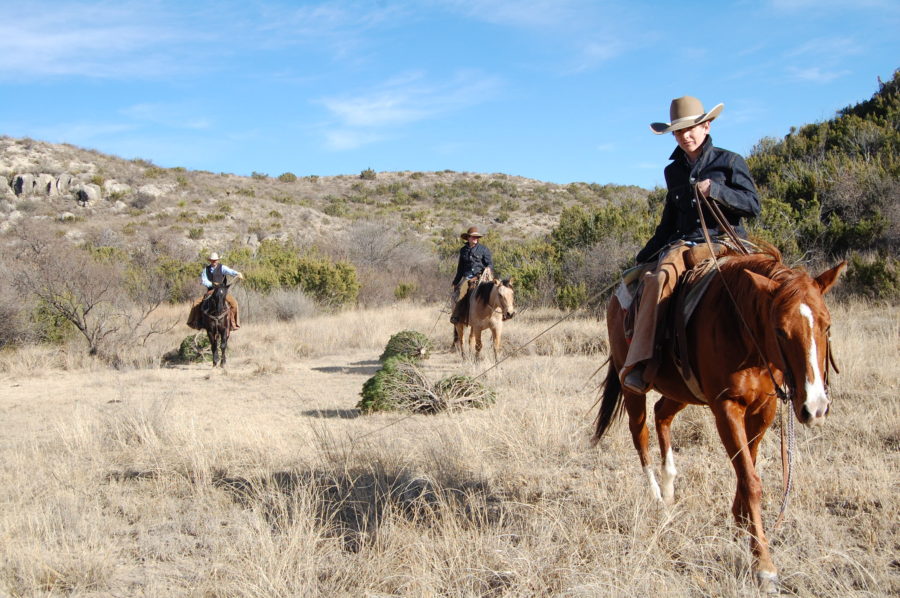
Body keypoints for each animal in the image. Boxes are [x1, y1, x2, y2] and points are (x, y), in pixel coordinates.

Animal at [592, 246, 844, 592]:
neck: (741, 328)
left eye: (828, 326)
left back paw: (669, 485)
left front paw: (741, 523)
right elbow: (751, 480)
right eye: (780, 330)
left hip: (680, 391)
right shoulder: (726, 407)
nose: (816, 407)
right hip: (630, 382)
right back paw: (655, 495)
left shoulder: (763, 409)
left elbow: (748, 466)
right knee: (639, 433)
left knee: (661, 415)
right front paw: (763, 565)